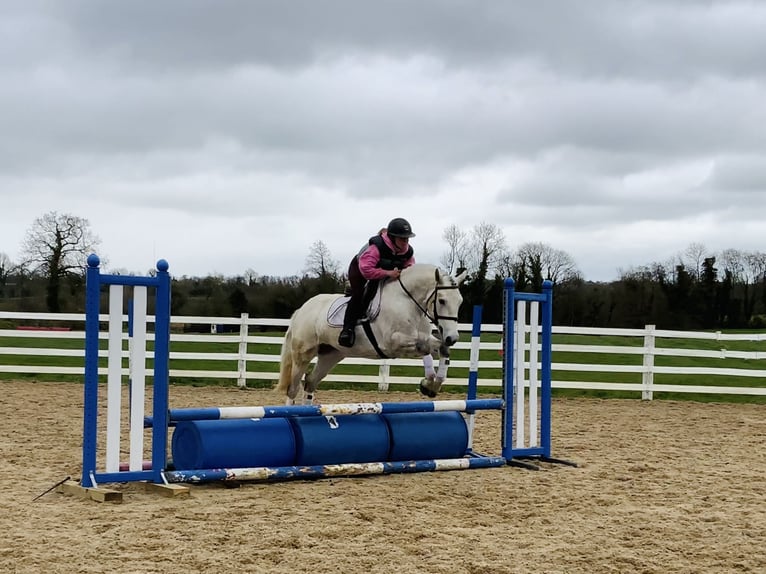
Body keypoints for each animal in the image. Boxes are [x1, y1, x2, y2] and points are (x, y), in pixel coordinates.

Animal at [276, 263, 469, 405]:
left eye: (460, 301)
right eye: (442, 300)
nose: (453, 338)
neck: (408, 302)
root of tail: (302, 309)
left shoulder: (422, 339)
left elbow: (441, 349)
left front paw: (431, 385)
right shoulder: (394, 343)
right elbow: (425, 348)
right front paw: (429, 382)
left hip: (331, 354)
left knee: (310, 382)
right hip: (302, 355)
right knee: (292, 389)